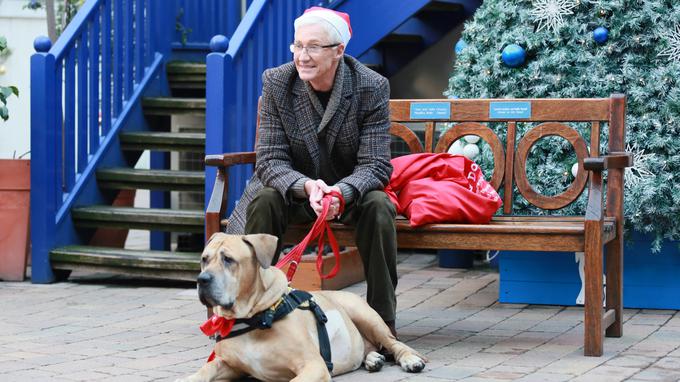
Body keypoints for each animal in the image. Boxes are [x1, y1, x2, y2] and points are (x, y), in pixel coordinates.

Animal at [178, 233, 428, 382]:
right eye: (204, 259)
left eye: (228, 259)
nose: (202, 279)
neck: (255, 316)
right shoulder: (229, 364)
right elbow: (206, 370)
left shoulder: (313, 365)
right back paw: (372, 359)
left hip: (365, 314)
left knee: (394, 343)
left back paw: (410, 359)